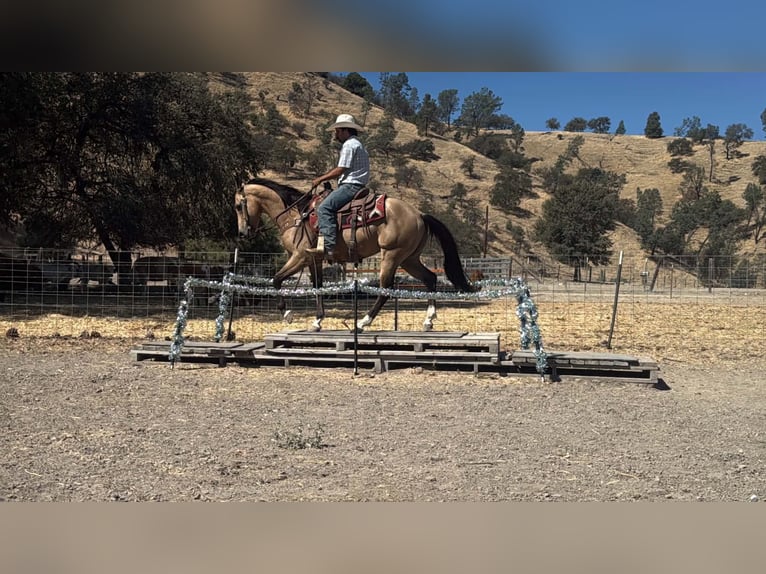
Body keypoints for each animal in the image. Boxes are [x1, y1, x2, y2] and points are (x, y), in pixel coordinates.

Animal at [235, 177, 476, 332]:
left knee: (385, 290)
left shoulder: (299, 256)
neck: (296, 216)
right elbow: (317, 288)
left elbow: (276, 280)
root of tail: (420, 215)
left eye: (238, 205)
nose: (243, 232)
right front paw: (317, 321)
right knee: (431, 278)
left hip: (391, 256)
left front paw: (287, 315)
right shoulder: (314, 259)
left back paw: (363, 322)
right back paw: (429, 320)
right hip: (409, 259)